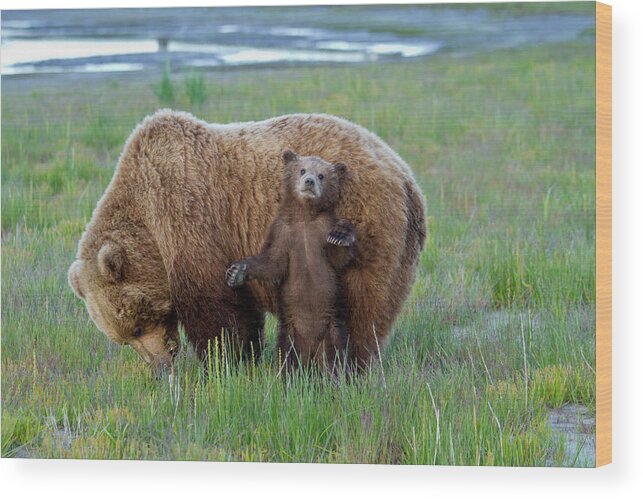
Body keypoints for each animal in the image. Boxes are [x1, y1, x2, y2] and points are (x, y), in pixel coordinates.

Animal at [68, 110, 428, 372]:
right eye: (124, 339)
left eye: (137, 328)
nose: (161, 365)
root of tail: (406, 177)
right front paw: (246, 357)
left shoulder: (190, 219)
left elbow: (216, 310)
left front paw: (224, 363)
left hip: (369, 224)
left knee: (360, 307)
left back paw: (350, 363)